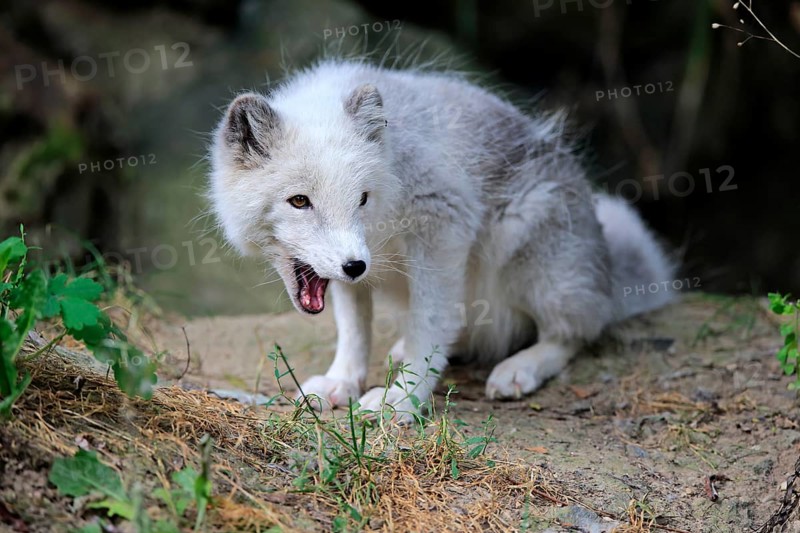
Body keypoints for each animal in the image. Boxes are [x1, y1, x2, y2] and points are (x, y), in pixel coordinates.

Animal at [208, 60, 674, 419]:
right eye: (300, 201)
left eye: (362, 199)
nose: (356, 267)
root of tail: (607, 270)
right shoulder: (351, 268)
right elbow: (354, 328)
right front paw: (343, 381)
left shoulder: (443, 221)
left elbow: (430, 321)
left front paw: (402, 398)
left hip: (528, 248)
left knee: (576, 331)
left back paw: (519, 367)